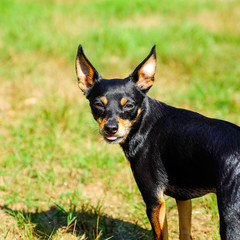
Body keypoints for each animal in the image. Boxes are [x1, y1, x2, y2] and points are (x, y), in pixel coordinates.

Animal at [75, 45, 240, 240]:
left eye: (129, 105)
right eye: (98, 104)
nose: (110, 128)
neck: (143, 123)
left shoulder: (154, 200)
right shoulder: (183, 198)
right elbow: (185, 232)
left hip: (230, 217)